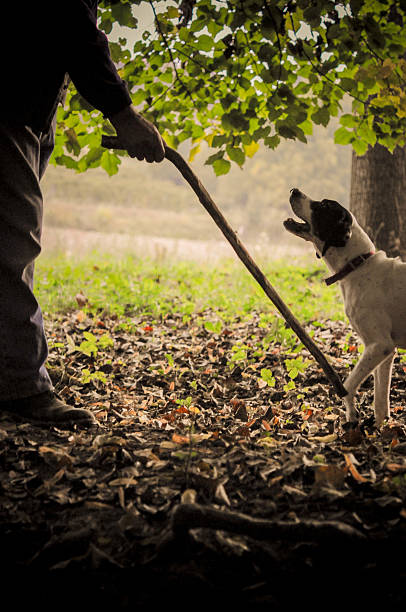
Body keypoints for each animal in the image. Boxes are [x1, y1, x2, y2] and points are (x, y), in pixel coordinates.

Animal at [284, 188, 406, 426]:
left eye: (323, 206)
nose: (294, 190)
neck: (357, 266)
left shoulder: (379, 345)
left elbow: (347, 387)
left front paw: (351, 414)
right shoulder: (386, 352)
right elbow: (380, 400)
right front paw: (379, 427)